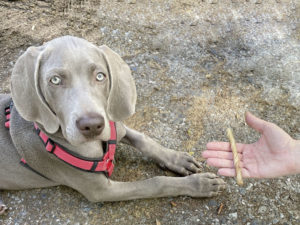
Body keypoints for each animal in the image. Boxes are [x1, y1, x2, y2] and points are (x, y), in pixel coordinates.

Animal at [0, 35, 225, 214]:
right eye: (55, 80)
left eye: (100, 76)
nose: (92, 126)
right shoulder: (102, 190)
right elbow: (156, 183)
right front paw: (199, 184)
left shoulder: (115, 126)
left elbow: (145, 141)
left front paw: (177, 159)